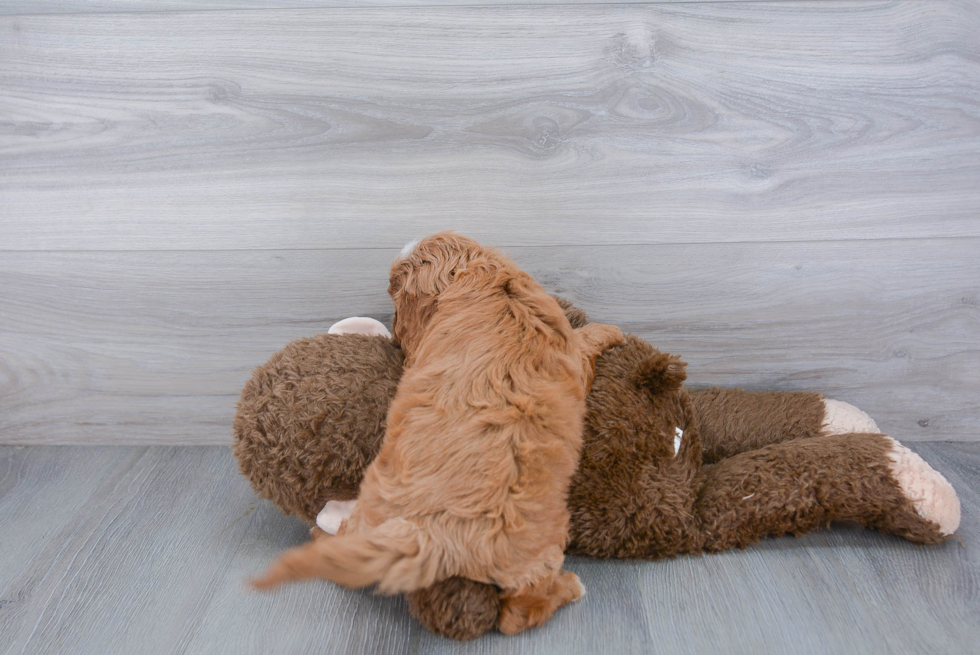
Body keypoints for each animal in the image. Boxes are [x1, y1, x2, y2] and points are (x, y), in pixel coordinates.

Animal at [251, 232, 620, 636]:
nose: (395, 330)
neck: (485, 277)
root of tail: (437, 538)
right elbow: (584, 340)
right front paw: (613, 331)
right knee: (519, 612)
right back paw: (571, 587)